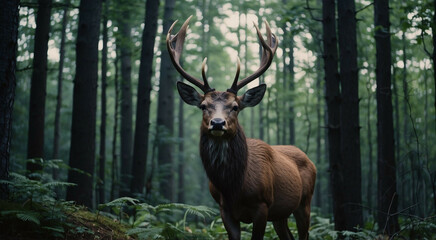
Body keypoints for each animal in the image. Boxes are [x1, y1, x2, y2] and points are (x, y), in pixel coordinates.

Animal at [167, 15, 316, 239]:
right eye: (203, 106)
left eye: (235, 107)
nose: (217, 123)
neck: (233, 188)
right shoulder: (224, 210)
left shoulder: (262, 205)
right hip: (280, 213)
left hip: (305, 202)